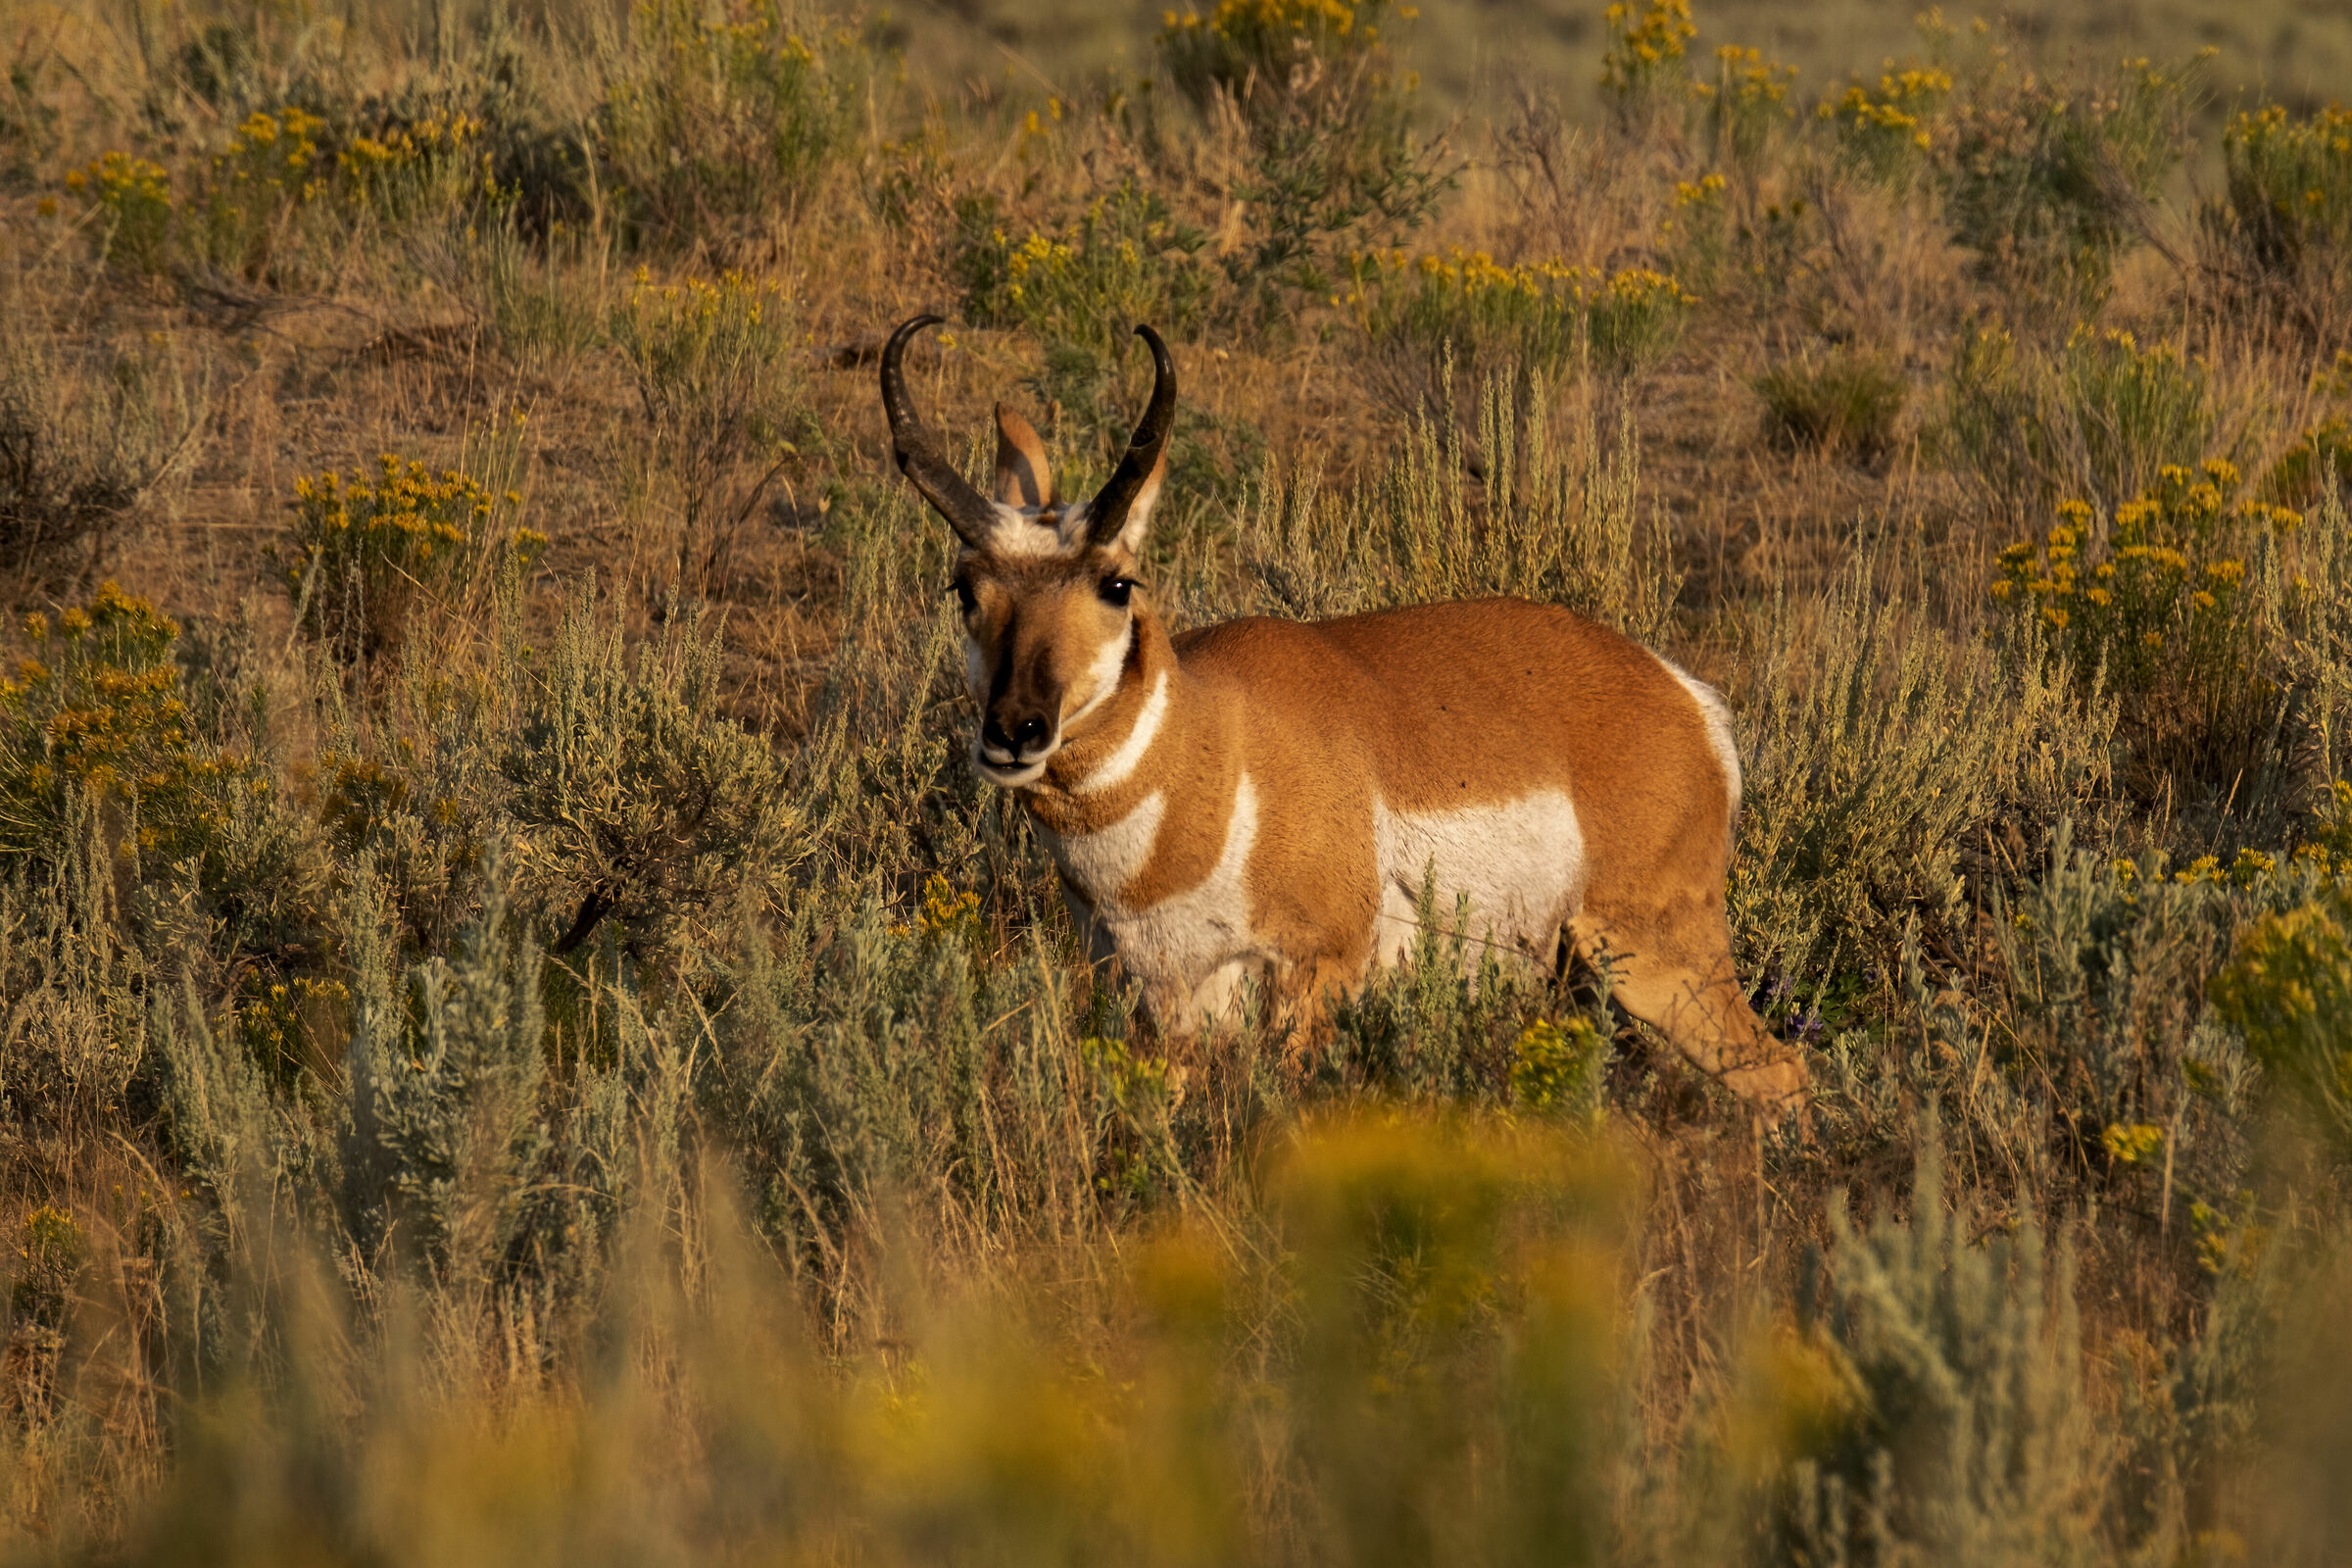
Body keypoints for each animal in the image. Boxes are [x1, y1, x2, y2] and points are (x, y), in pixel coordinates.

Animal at [879, 314, 1807, 1113]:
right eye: (965, 589)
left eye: (1116, 584)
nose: (1015, 732)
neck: (1212, 749)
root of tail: (1677, 691)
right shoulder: (1160, 1002)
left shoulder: (1314, 972)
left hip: (1654, 954)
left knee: (1781, 1073)